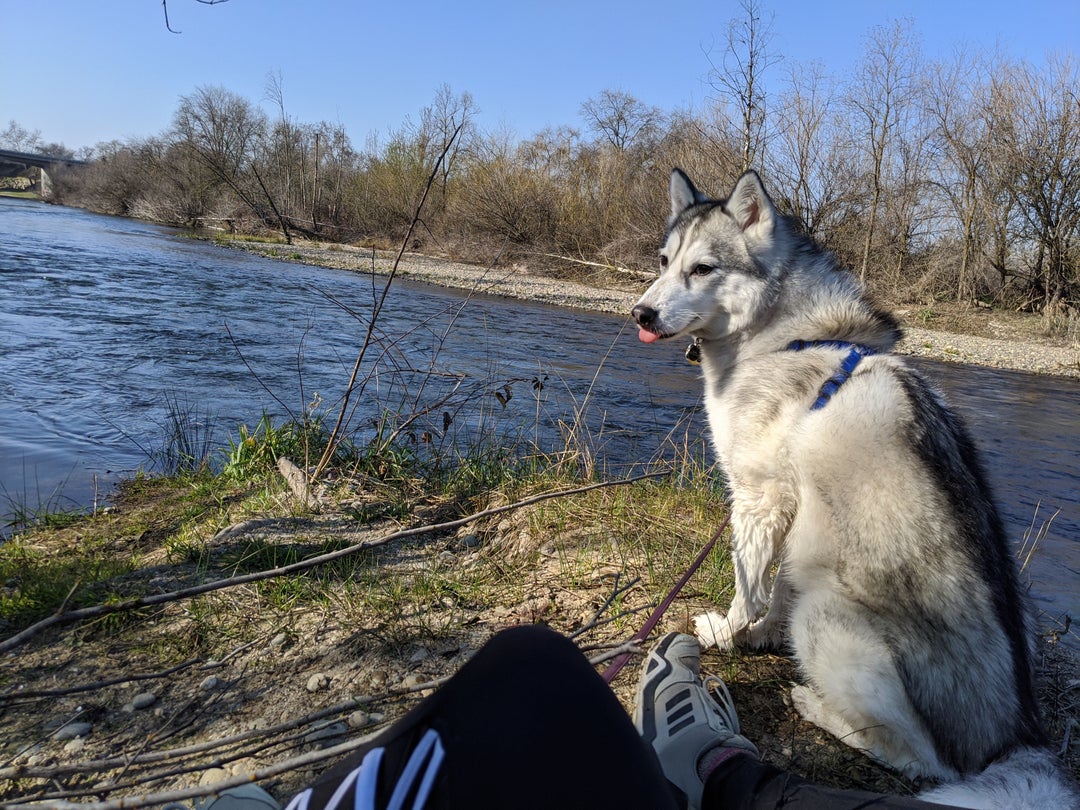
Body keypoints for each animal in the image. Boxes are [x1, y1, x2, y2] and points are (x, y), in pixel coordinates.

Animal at [630, 168, 1075, 807]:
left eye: (703, 268)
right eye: (664, 262)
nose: (640, 313)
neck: (785, 337)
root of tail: (1014, 738)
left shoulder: (759, 499)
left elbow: (747, 587)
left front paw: (729, 634)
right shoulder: (800, 518)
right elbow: (776, 591)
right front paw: (760, 637)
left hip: (829, 616)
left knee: (913, 759)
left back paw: (818, 706)